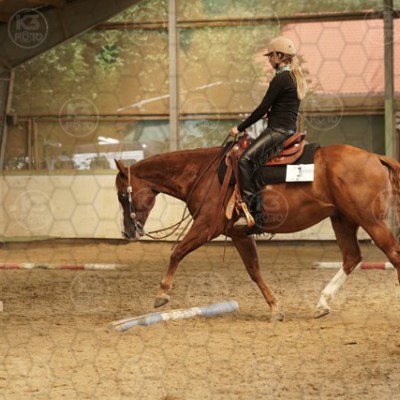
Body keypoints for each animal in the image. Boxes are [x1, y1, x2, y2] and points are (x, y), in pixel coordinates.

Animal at [115, 143, 400, 321]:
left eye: (121, 195)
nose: (128, 232)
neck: (203, 173)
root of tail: (375, 157)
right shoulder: (240, 234)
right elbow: (254, 270)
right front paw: (275, 308)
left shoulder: (207, 226)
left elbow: (177, 252)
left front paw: (162, 294)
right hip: (342, 219)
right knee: (352, 257)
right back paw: (322, 304)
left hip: (370, 221)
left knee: (393, 254)